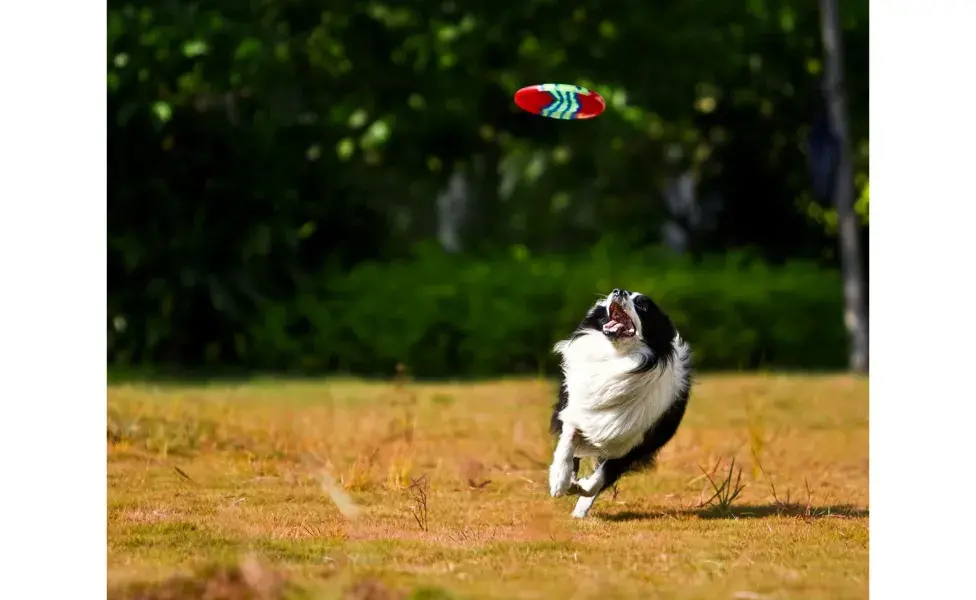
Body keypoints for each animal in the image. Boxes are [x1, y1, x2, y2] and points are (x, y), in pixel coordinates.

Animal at [548, 288, 692, 516]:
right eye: (623, 293)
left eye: (643, 305)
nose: (619, 291)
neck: (619, 358)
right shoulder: (576, 410)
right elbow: (567, 444)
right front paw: (559, 480)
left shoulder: (639, 442)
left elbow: (603, 475)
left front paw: (582, 488)